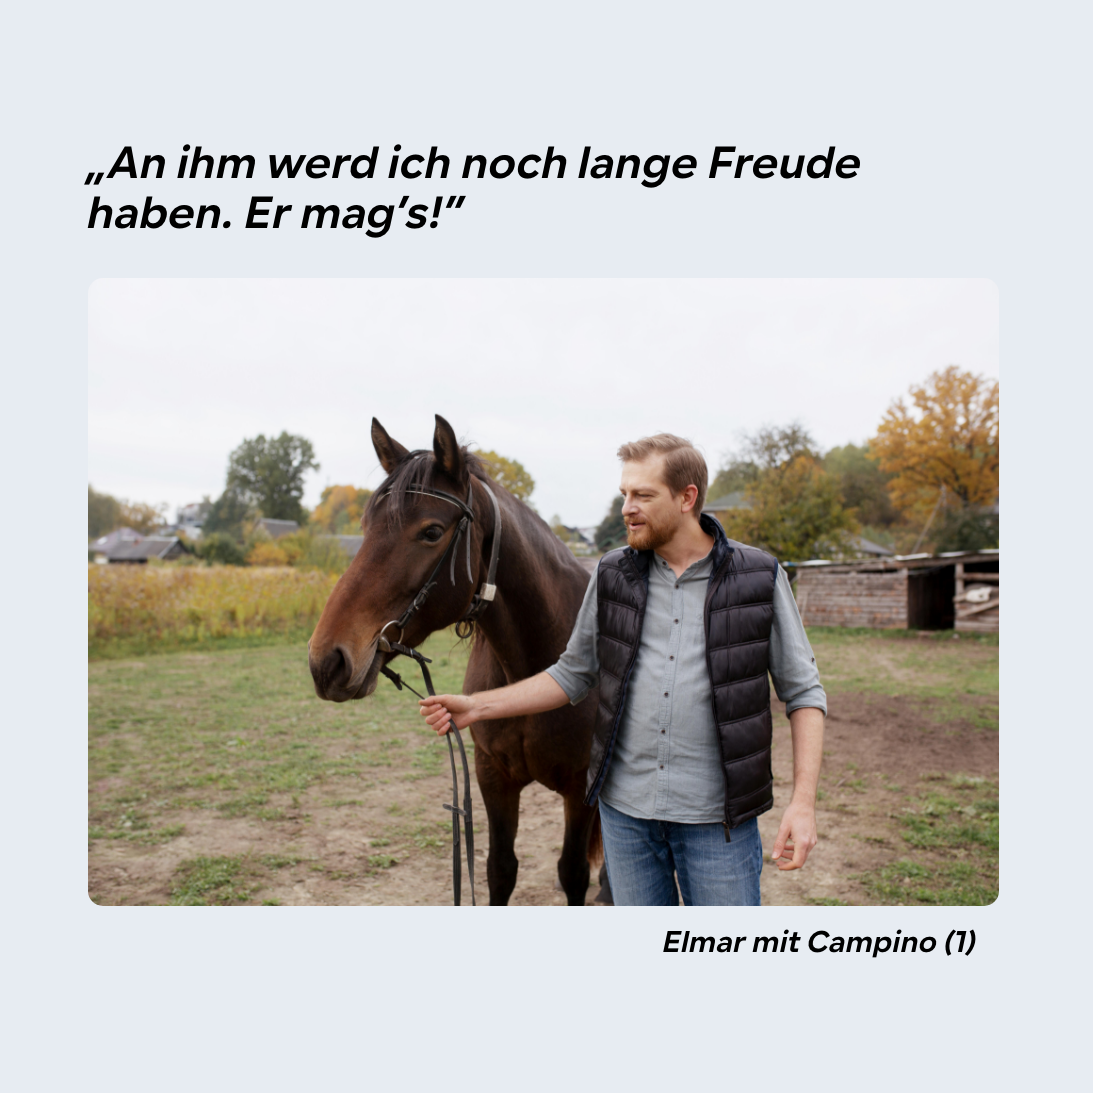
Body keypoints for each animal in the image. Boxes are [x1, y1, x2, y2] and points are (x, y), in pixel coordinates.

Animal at [308, 414, 606, 906]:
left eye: (431, 532)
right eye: (367, 527)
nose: (326, 661)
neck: (535, 669)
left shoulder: (580, 787)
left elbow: (573, 872)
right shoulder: (492, 777)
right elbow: (500, 870)